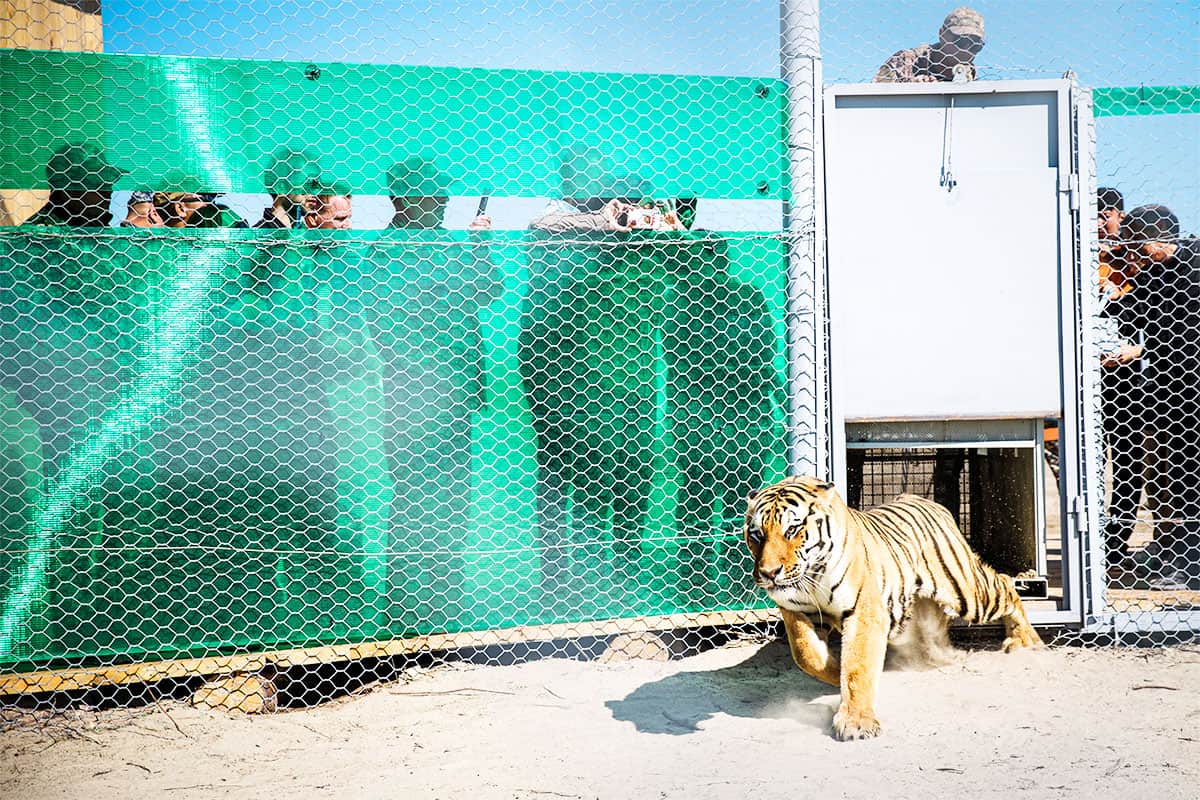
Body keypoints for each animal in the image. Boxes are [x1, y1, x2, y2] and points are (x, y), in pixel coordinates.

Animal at [739, 472, 1041, 743]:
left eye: (792, 530)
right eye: (757, 535)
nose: (768, 573)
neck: (811, 577)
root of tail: (923, 499)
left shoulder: (864, 612)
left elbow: (857, 666)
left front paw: (856, 722)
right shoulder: (795, 611)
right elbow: (807, 655)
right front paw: (834, 672)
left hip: (967, 593)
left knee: (1005, 584)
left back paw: (1026, 641)